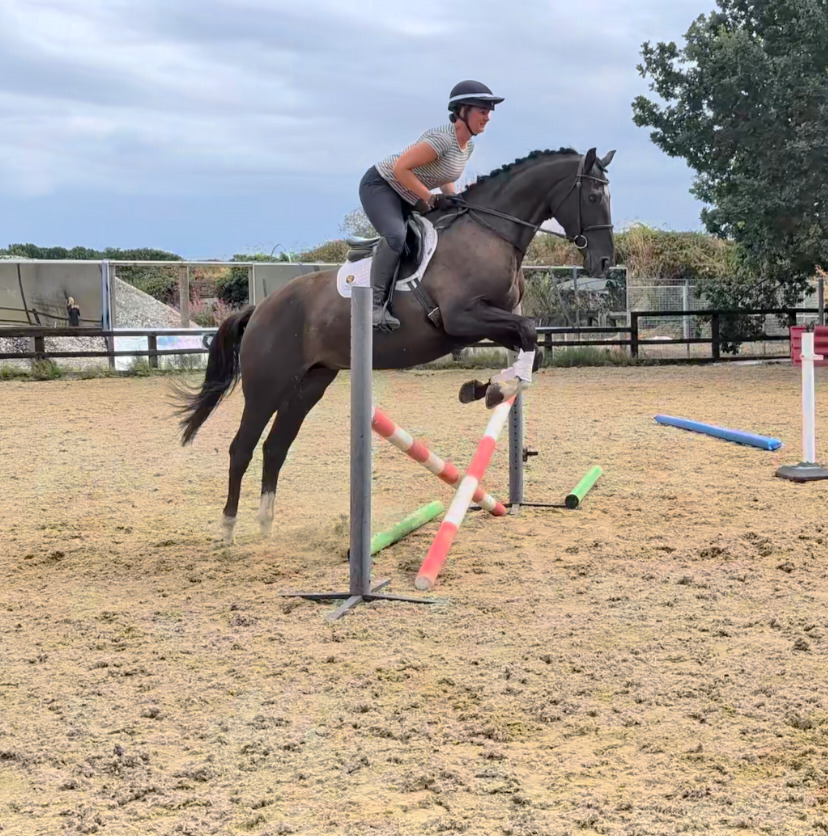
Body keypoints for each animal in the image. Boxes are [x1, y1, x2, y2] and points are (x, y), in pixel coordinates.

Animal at [175, 146, 616, 543]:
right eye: (595, 196)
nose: (604, 263)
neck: (489, 231)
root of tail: (261, 307)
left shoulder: (484, 324)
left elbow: (532, 347)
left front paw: (485, 388)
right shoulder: (462, 318)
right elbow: (528, 334)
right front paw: (491, 389)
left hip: (309, 384)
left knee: (275, 447)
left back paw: (266, 525)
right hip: (267, 386)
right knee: (242, 448)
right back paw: (228, 529)